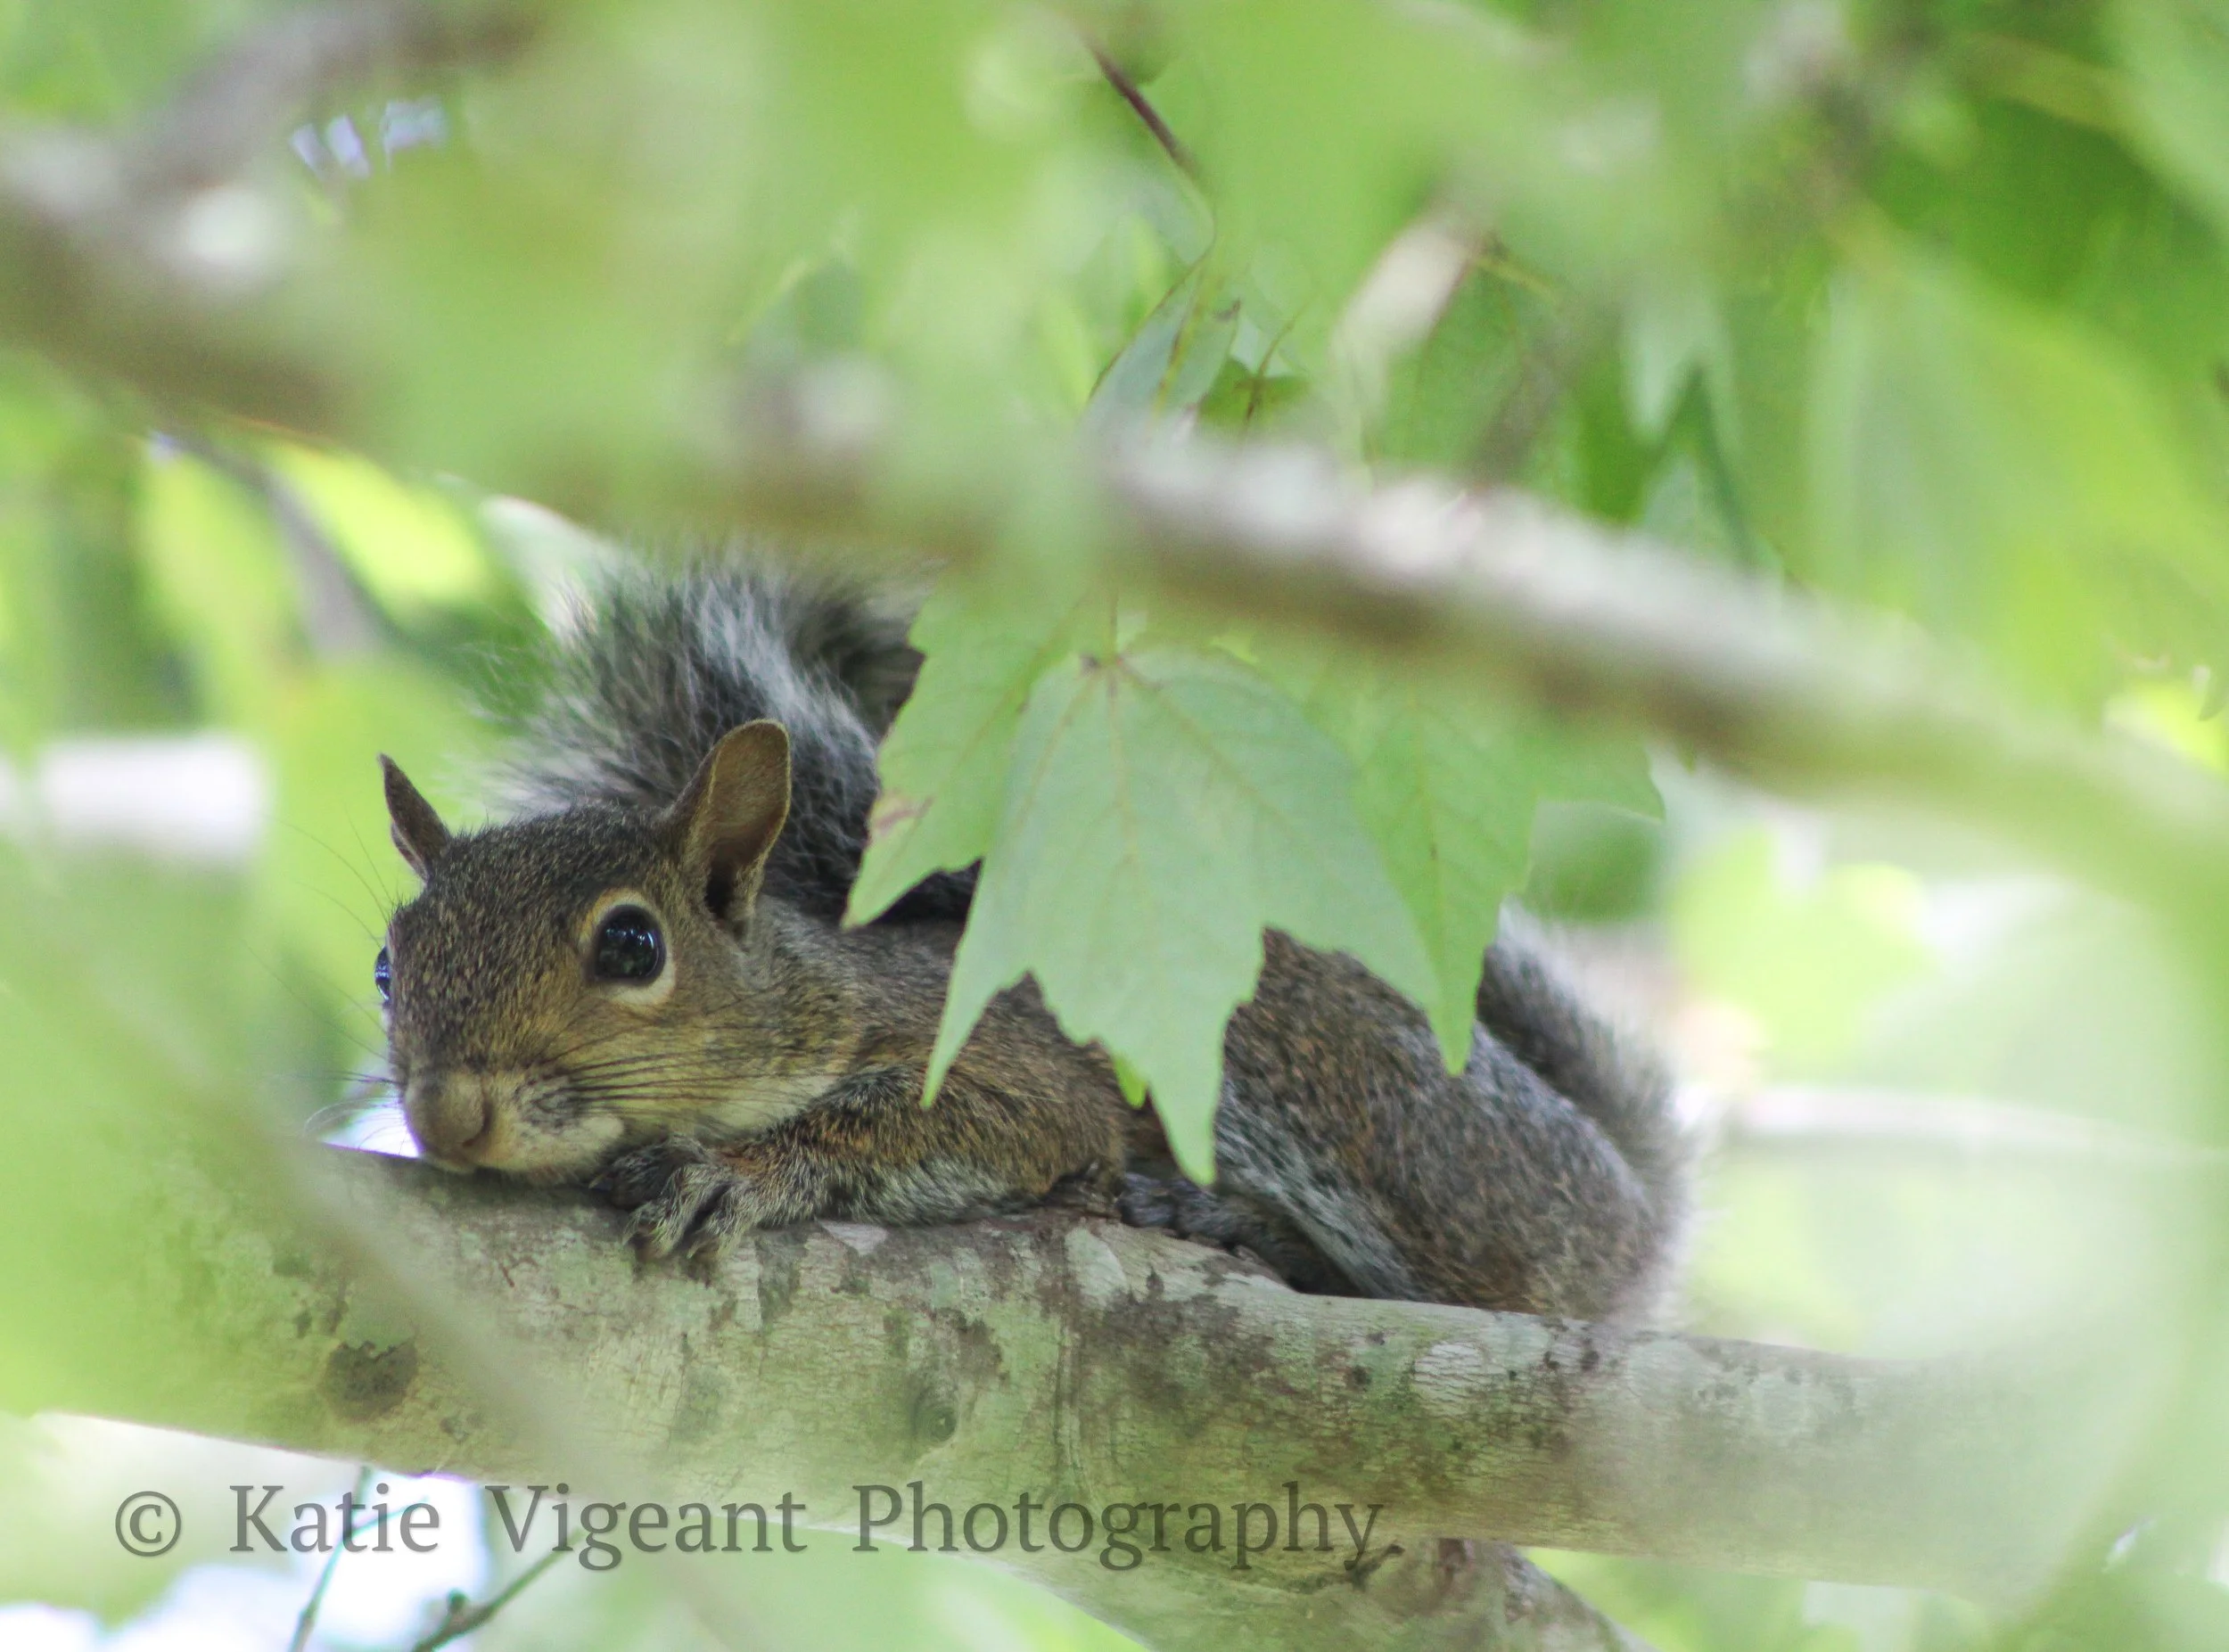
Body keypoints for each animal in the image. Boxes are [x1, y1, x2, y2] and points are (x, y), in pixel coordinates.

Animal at [375, 559, 1688, 1320]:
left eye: (634, 947)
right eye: (389, 964)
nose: (446, 1110)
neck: (806, 998)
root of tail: (1628, 1209)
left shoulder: (1005, 1060)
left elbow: (992, 1120)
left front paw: (737, 1169)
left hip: (1370, 1107)